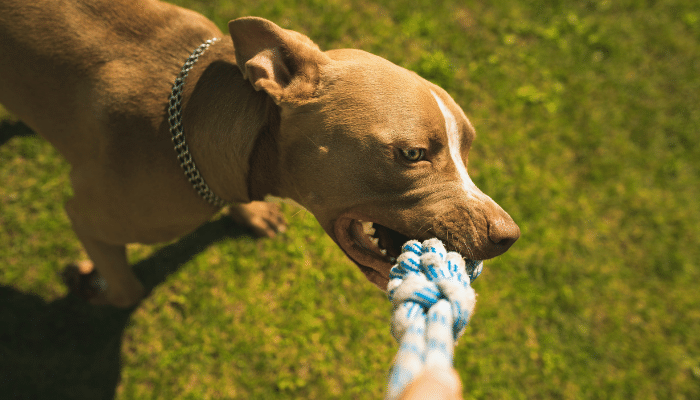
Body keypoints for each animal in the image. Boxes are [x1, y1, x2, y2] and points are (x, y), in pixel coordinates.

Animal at [0, 0, 516, 308]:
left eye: (468, 147)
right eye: (412, 153)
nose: (509, 235)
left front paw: (250, 215)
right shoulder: (86, 214)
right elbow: (128, 289)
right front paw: (94, 285)